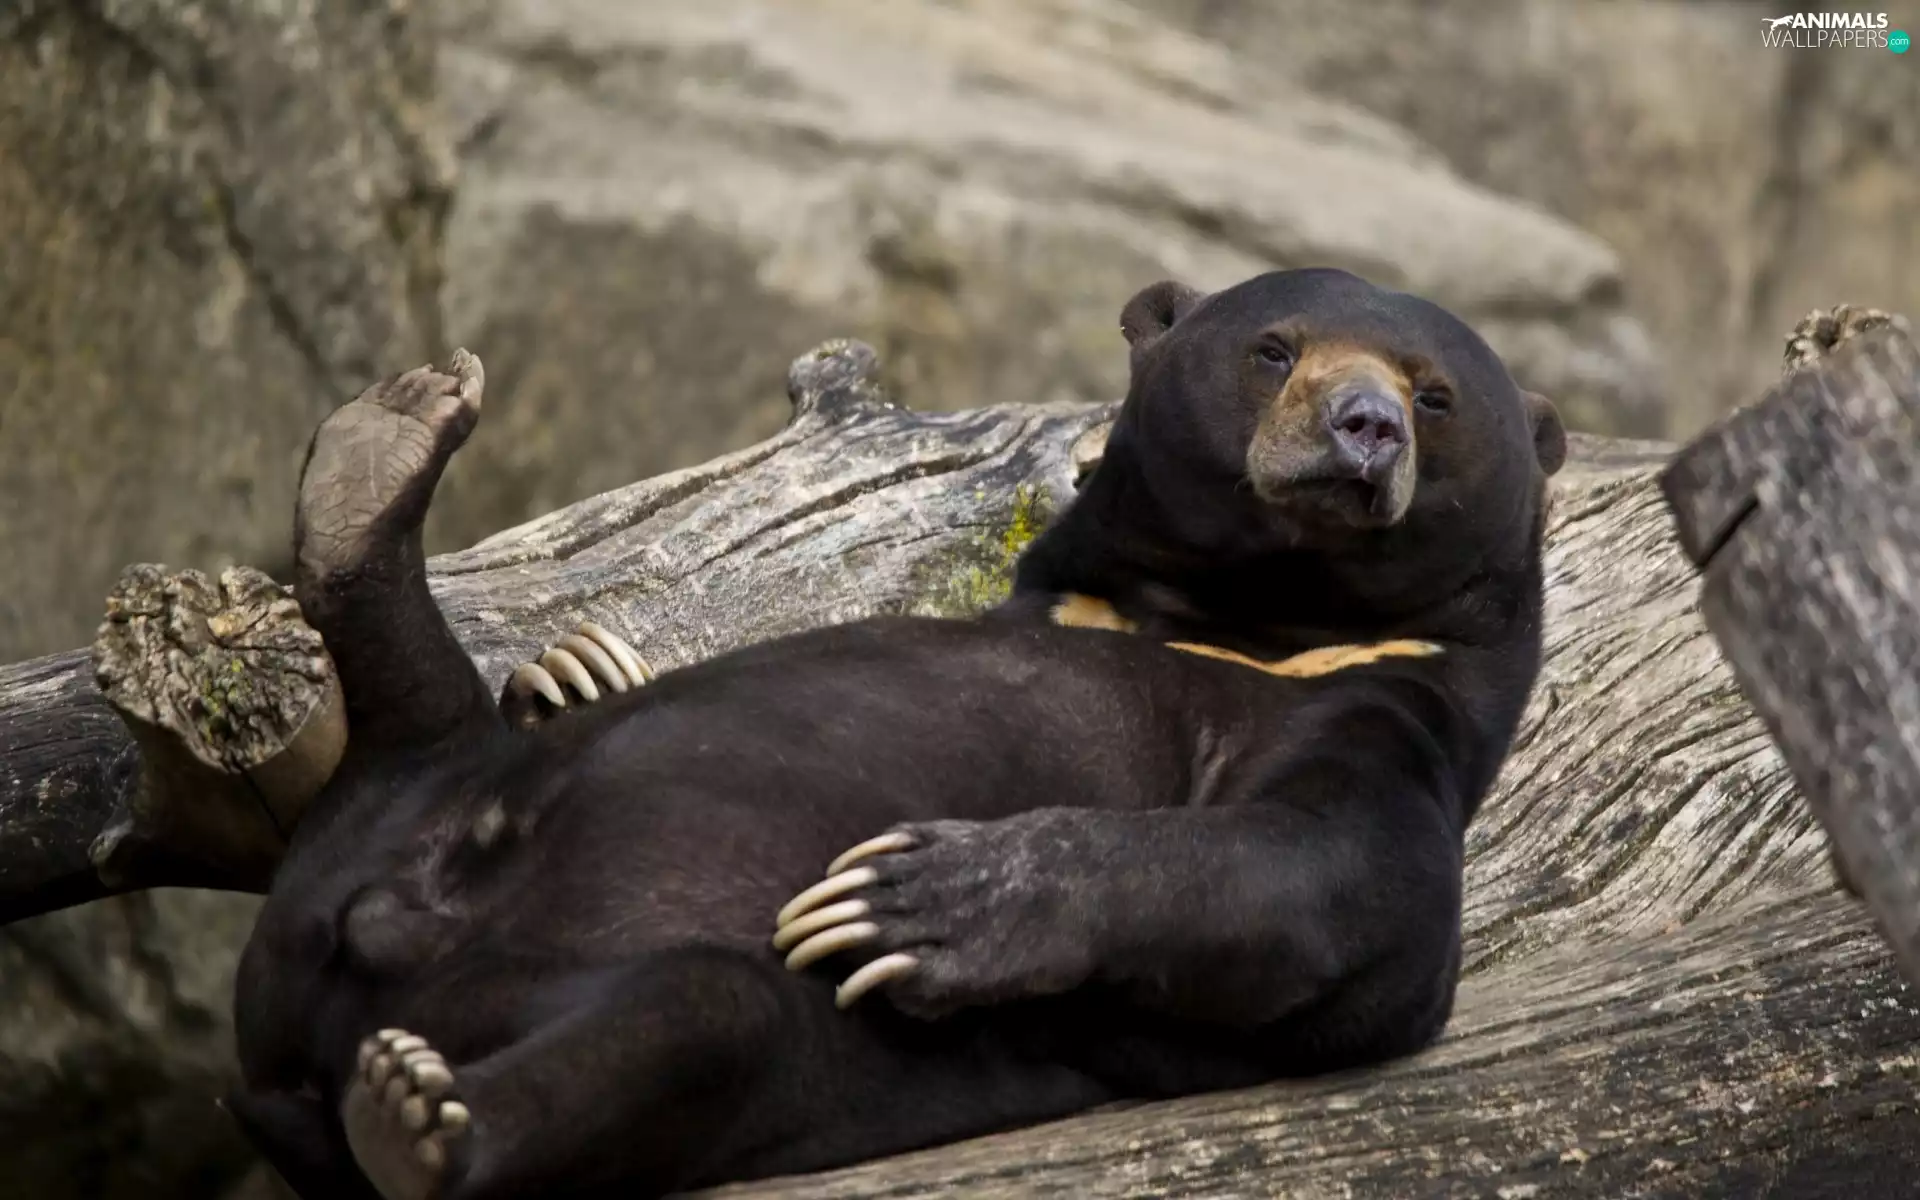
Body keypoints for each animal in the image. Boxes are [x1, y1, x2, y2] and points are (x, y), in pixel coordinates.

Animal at [224, 267, 1566, 1200]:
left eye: (1437, 397)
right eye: (1274, 348)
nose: (1364, 428)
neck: (1254, 620)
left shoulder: (1388, 716)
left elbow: (1345, 892)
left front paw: (907, 900)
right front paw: (573, 668)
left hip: (709, 1029)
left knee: (703, 1022)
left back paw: (415, 1119)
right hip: (397, 814)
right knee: (426, 731)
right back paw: (381, 458)